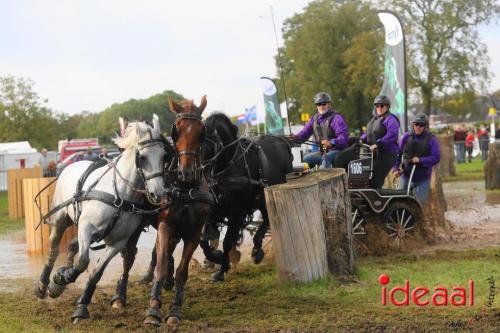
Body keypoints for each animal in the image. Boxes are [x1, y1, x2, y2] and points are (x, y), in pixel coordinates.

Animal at [33, 115, 166, 322]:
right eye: (142, 157)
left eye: (163, 156)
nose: (157, 194)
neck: (120, 195)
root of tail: (68, 166)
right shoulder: (86, 227)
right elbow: (82, 261)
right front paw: (61, 279)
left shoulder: (118, 242)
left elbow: (96, 272)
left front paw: (81, 306)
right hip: (60, 220)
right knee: (54, 249)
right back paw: (43, 284)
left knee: (72, 246)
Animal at [143, 95, 213, 326]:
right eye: (176, 130)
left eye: (201, 131)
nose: (186, 171)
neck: (184, 189)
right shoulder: (166, 225)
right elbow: (162, 264)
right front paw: (153, 309)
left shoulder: (194, 231)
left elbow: (183, 271)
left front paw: (174, 310)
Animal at [199, 113, 292, 280]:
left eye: (211, 145)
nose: (202, 172)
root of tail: (281, 140)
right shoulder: (215, 208)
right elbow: (204, 241)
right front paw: (217, 257)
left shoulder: (237, 209)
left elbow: (228, 241)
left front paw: (222, 269)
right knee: (266, 218)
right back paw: (257, 248)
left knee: (267, 219)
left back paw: (257, 250)